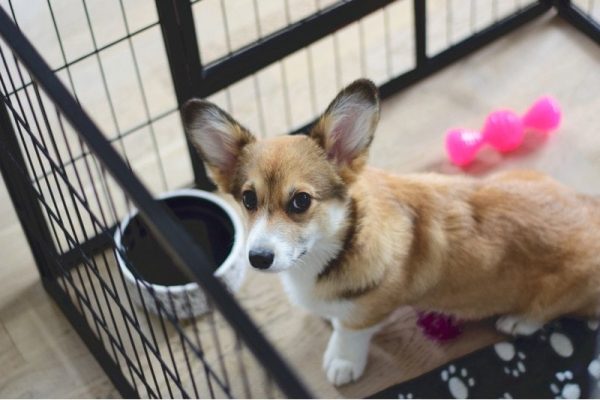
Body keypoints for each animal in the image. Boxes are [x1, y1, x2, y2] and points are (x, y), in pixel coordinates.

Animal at [182, 79, 600, 388]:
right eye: (248, 199)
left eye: (300, 201)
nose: (257, 258)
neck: (335, 245)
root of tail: (590, 208)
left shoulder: (369, 311)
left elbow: (348, 333)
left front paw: (342, 362)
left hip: (565, 290)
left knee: (547, 310)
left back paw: (517, 321)